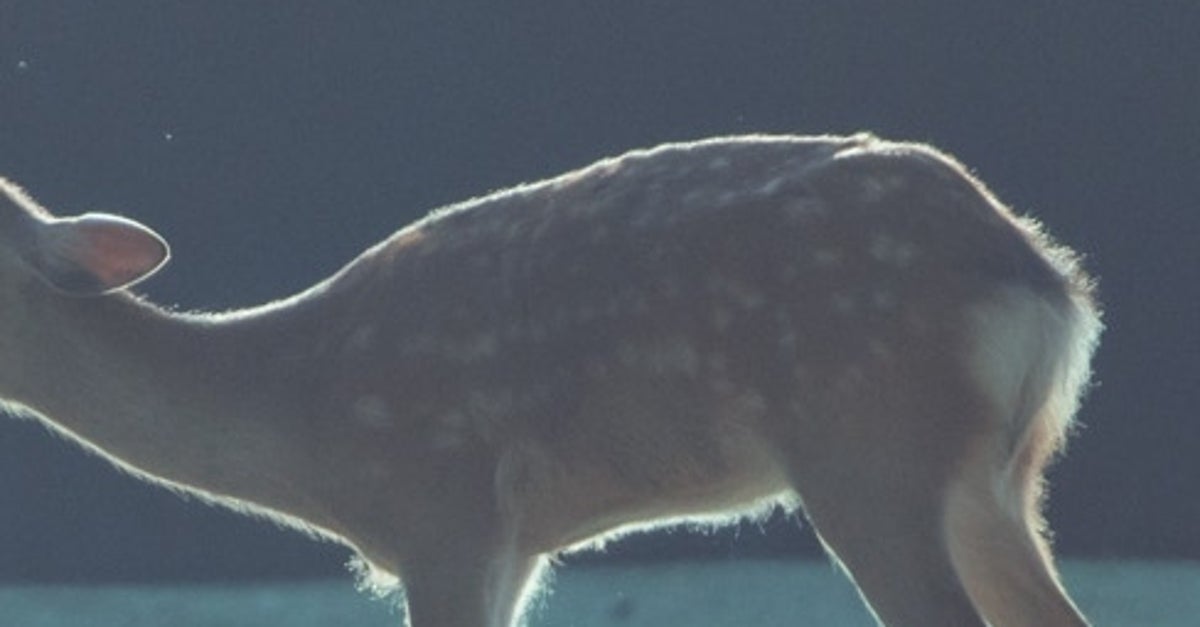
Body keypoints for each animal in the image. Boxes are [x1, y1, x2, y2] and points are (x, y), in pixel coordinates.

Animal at [0, 133, 1100, 626]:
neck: (309, 424)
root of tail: (1043, 281)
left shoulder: (445, 511)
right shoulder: (519, 544)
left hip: (869, 447)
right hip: (997, 478)